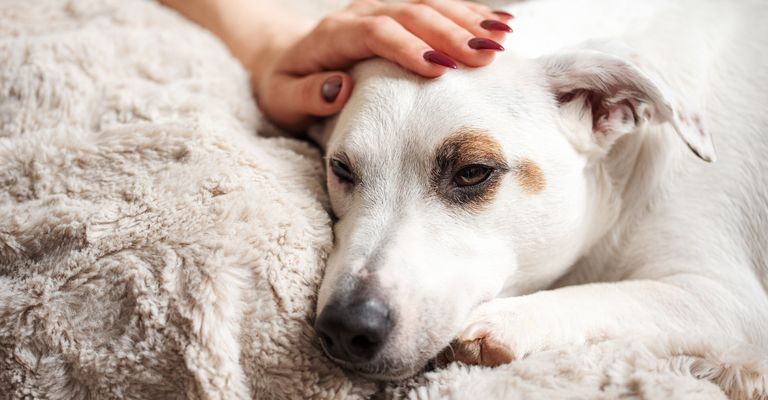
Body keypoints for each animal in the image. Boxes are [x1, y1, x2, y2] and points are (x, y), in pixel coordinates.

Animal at [310, 0, 768, 380]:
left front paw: (509, 319)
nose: (346, 326)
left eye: (473, 172)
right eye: (341, 168)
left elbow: (616, 294)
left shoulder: (730, 299)